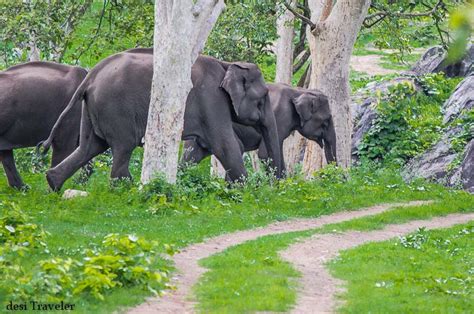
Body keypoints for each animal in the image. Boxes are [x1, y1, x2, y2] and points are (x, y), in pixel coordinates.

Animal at [41, 48, 282, 191]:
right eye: (263, 98)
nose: (278, 186)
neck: (227, 64)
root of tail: (91, 76)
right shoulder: (211, 98)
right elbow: (224, 143)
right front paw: (247, 191)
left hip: (92, 109)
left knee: (89, 147)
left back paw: (53, 185)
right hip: (115, 109)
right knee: (123, 146)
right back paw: (126, 189)